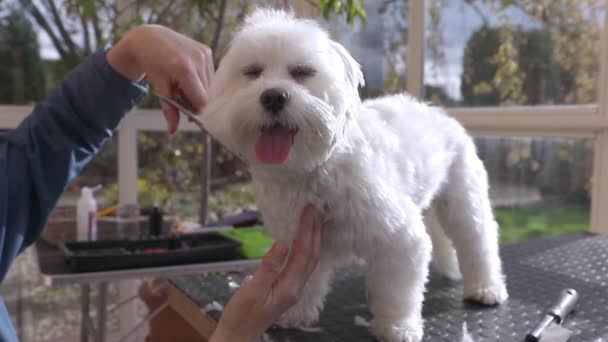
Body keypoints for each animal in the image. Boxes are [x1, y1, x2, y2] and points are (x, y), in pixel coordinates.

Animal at [203, 8, 508, 342]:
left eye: (302, 72)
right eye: (253, 72)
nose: (272, 97)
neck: (313, 168)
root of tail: (441, 114)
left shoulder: (399, 237)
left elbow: (397, 290)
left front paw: (397, 327)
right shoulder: (302, 242)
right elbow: (305, 283)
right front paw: (295, 313)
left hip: (463, 199)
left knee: (478, 240)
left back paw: (486, 288)